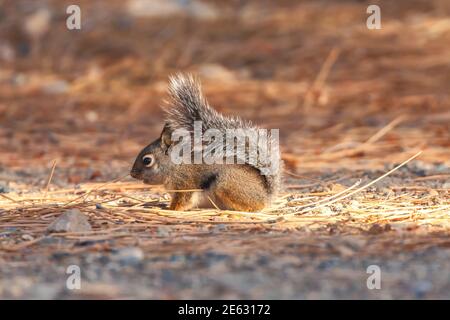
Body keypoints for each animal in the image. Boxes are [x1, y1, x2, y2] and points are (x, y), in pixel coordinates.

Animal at [128, 74, 282, 211]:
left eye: (147, 160)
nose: (132, 174)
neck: (175, 167)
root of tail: (266, 195)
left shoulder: (185, 184)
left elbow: (183, 202)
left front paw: (170, 209)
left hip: (225, 184)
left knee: (255, 206)